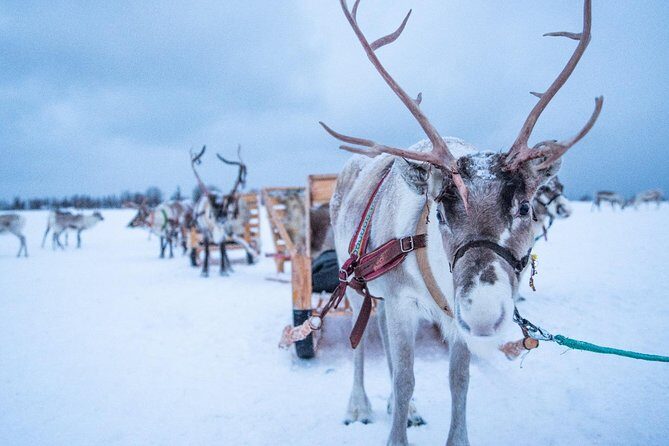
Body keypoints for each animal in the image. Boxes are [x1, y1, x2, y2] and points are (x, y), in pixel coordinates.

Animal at [190, 145, 258, 277]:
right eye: (214, 211)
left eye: (227, 210)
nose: (222, 221)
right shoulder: (205, 231)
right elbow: (207, 250)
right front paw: (204, 272)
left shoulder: (224, 231)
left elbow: (222, 249)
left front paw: (223, 271)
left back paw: (229, 267)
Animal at [321, 1, 602, 445]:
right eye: (439, 211)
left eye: (526, 207)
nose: (484, 312)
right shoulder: (402, 301)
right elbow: (405, 378)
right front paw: (394, 426)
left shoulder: (452, 318)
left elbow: (459, 381)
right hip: (353, 284)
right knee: (362, 337)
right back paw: (360, 406)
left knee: (379, 331)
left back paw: (403, 410)